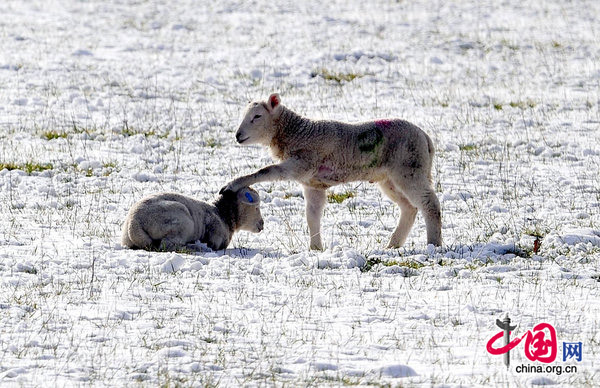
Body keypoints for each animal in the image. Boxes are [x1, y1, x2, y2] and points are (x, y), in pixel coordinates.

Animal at [122, 187, 262, 252]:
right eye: (256, 207)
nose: (262, 224)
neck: (223, 214)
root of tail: (134, 224)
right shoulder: (215, 234)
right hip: (181, 223)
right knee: (167, 245)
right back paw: (196, 247)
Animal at [220, 94, 440, 252]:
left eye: (257, 116)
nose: (238, 136)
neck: (297, 133)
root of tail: (426, 138)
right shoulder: (312, 183)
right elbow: (312, 216)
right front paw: (316, 249)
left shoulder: (303, 163)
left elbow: (266, 170)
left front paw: (233, 184)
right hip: (390, 178)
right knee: (409, 208)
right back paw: (393, 244)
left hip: (409, 167)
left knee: (429, 203)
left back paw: (434, 244)